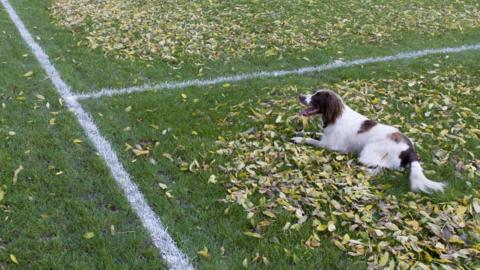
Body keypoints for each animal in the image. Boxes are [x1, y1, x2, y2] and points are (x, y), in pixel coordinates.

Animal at [292, 88, 446, 192]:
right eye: (314, 93)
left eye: (317, 96)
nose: (300, 96)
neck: (335, 117)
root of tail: (410, 149)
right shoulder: (325, 136)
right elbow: (311, 133)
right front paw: (298, 133)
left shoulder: (331, 146)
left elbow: (311, 140)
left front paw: (298, 139)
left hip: (368, 151)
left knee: (384, 168)